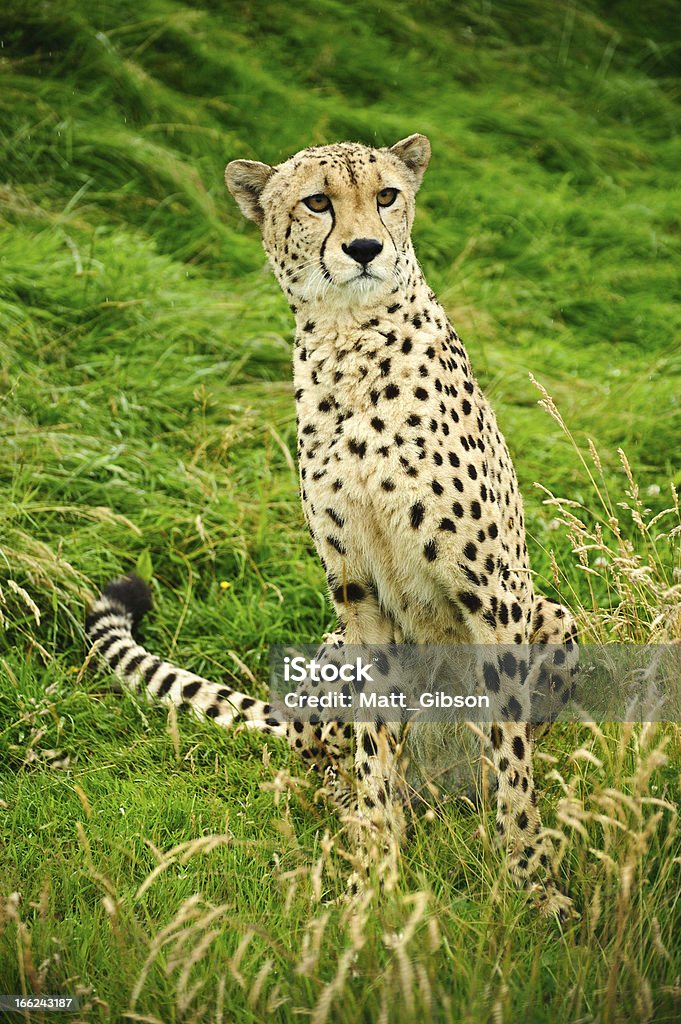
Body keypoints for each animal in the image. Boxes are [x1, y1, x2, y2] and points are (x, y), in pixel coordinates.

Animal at [83, 134, 573, 913]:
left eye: (387, 195)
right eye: (317, 202)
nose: (366, 247)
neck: (350, 342)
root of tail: (442, 795)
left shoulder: (491, 593)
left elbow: (513, 758)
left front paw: (531, 883)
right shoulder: (356, 594)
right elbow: (373, 751)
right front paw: (373, 874)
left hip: (550, 615)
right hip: (331, 656)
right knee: (323, 763)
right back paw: (354, 813)